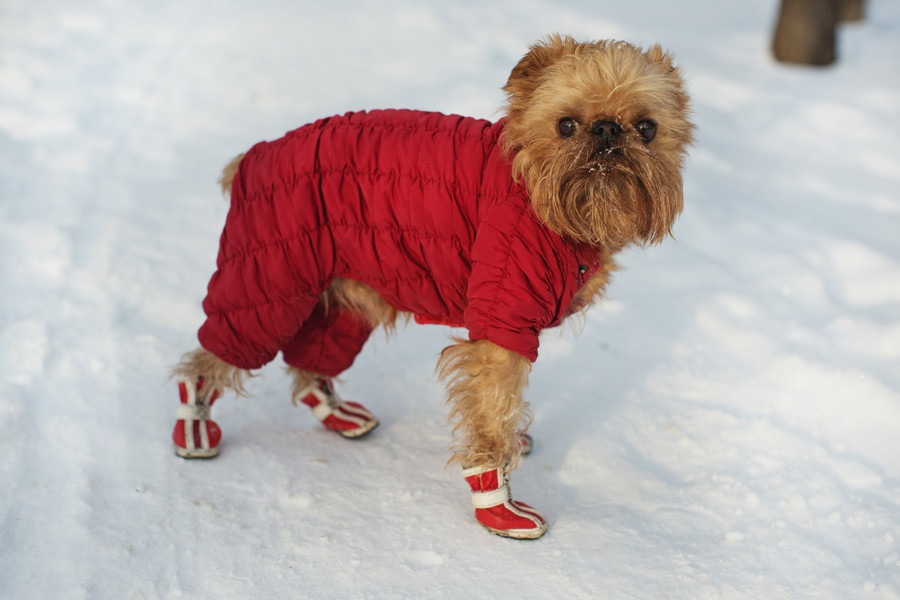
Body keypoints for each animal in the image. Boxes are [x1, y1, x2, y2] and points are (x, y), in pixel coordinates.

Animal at [174, 35, 696, 540]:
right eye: (566, 125)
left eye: (646, 128)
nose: (607, 130)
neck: (544, 201)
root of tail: (253, 155)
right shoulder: (501, 321)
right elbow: (490, 413)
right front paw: (498, 506)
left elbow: (504, 405)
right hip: (268, 280)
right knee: (213, 356)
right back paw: (194, 425)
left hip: (343, 293)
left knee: (309, 360)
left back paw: (337, 412)